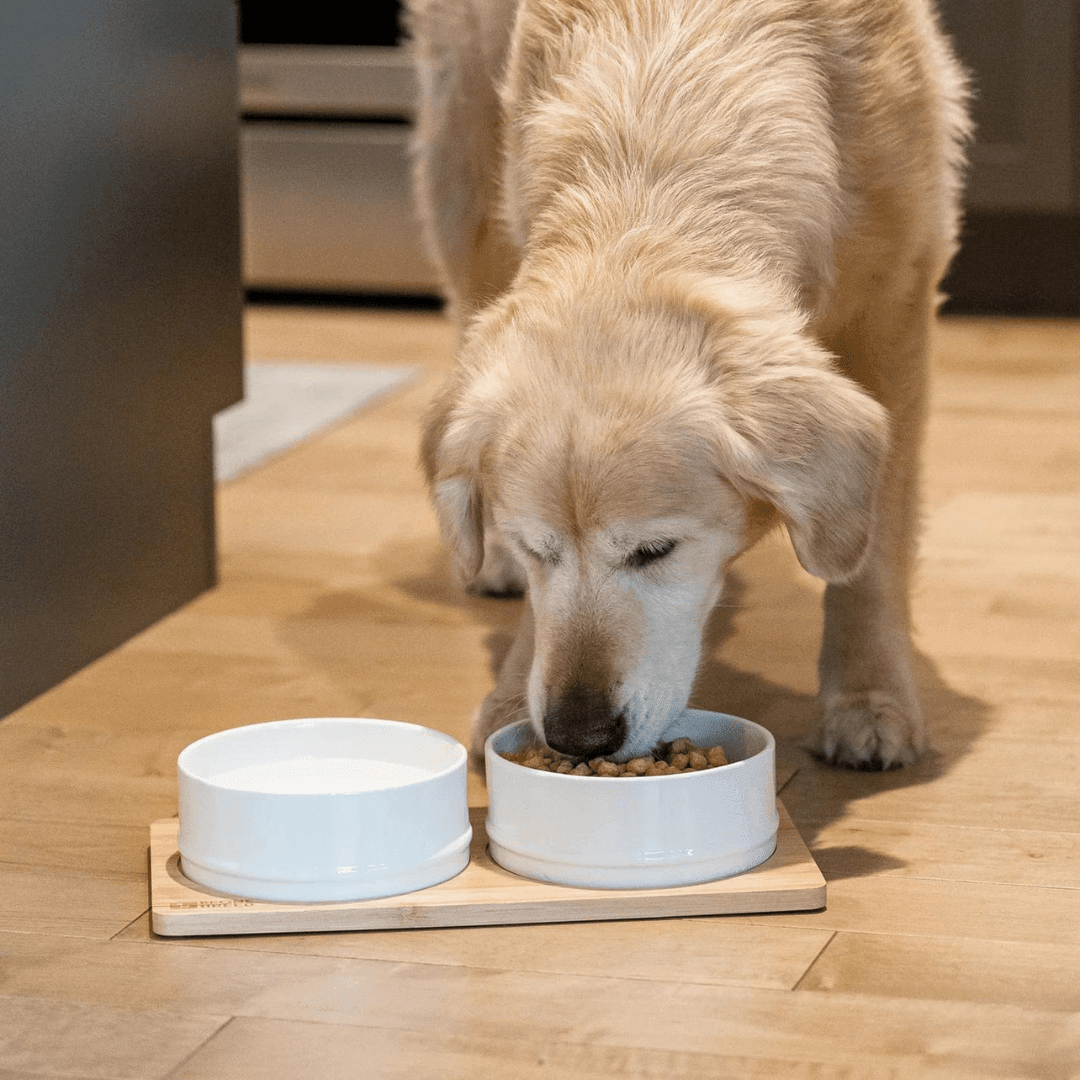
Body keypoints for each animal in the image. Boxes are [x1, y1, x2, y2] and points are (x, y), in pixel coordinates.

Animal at [406, 0, 972, 768]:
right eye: (538, 548)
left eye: (656, 551)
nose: (578, 736)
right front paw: (510, 694)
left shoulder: (896, 303)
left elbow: (873, 549)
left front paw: (870, 698)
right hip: (467, 169)